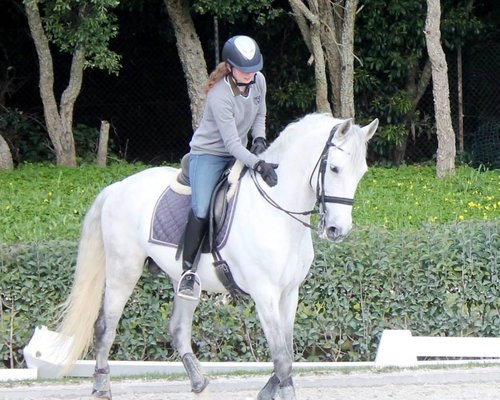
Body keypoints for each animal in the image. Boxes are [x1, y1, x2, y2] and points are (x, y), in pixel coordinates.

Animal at [55, 113, 376, 400]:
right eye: (334, 168)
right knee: (105, 327)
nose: (337, 229)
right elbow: (282, 358)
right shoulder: (265, 294)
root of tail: (117, 187)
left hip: (184, 280)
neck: (277, 210)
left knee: (178, 328)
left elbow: (288, 352)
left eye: (361, 173)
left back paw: (199, 383)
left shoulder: (289, 293)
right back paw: (101, 386)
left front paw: (268, 391)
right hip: (123, 271)